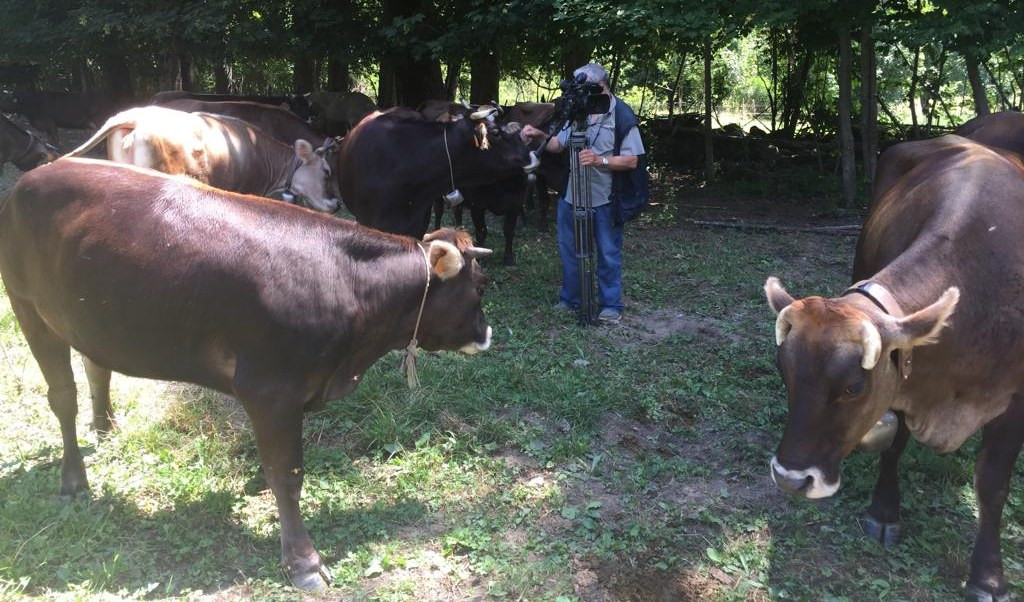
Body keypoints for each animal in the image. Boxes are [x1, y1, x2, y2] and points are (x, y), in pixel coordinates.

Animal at [0, 157, 495, 589]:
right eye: (480, 285)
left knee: (94, 365)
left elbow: (275, 464)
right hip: (28, 307)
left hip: (90, 316)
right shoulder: (271, 390)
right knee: (62, 397)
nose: (486, 332)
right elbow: (289, 473)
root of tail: (39, 173)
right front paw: (303, 561)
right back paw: (74, 482)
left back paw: (105, 425)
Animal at [765, 133, 1024, 602]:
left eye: (853, 387)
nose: (791, 479)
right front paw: (885, 510)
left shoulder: (1016, 400)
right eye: (784, 371)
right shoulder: (905, 379)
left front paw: (988, 577)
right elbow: (893, 446)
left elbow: (993, 483)